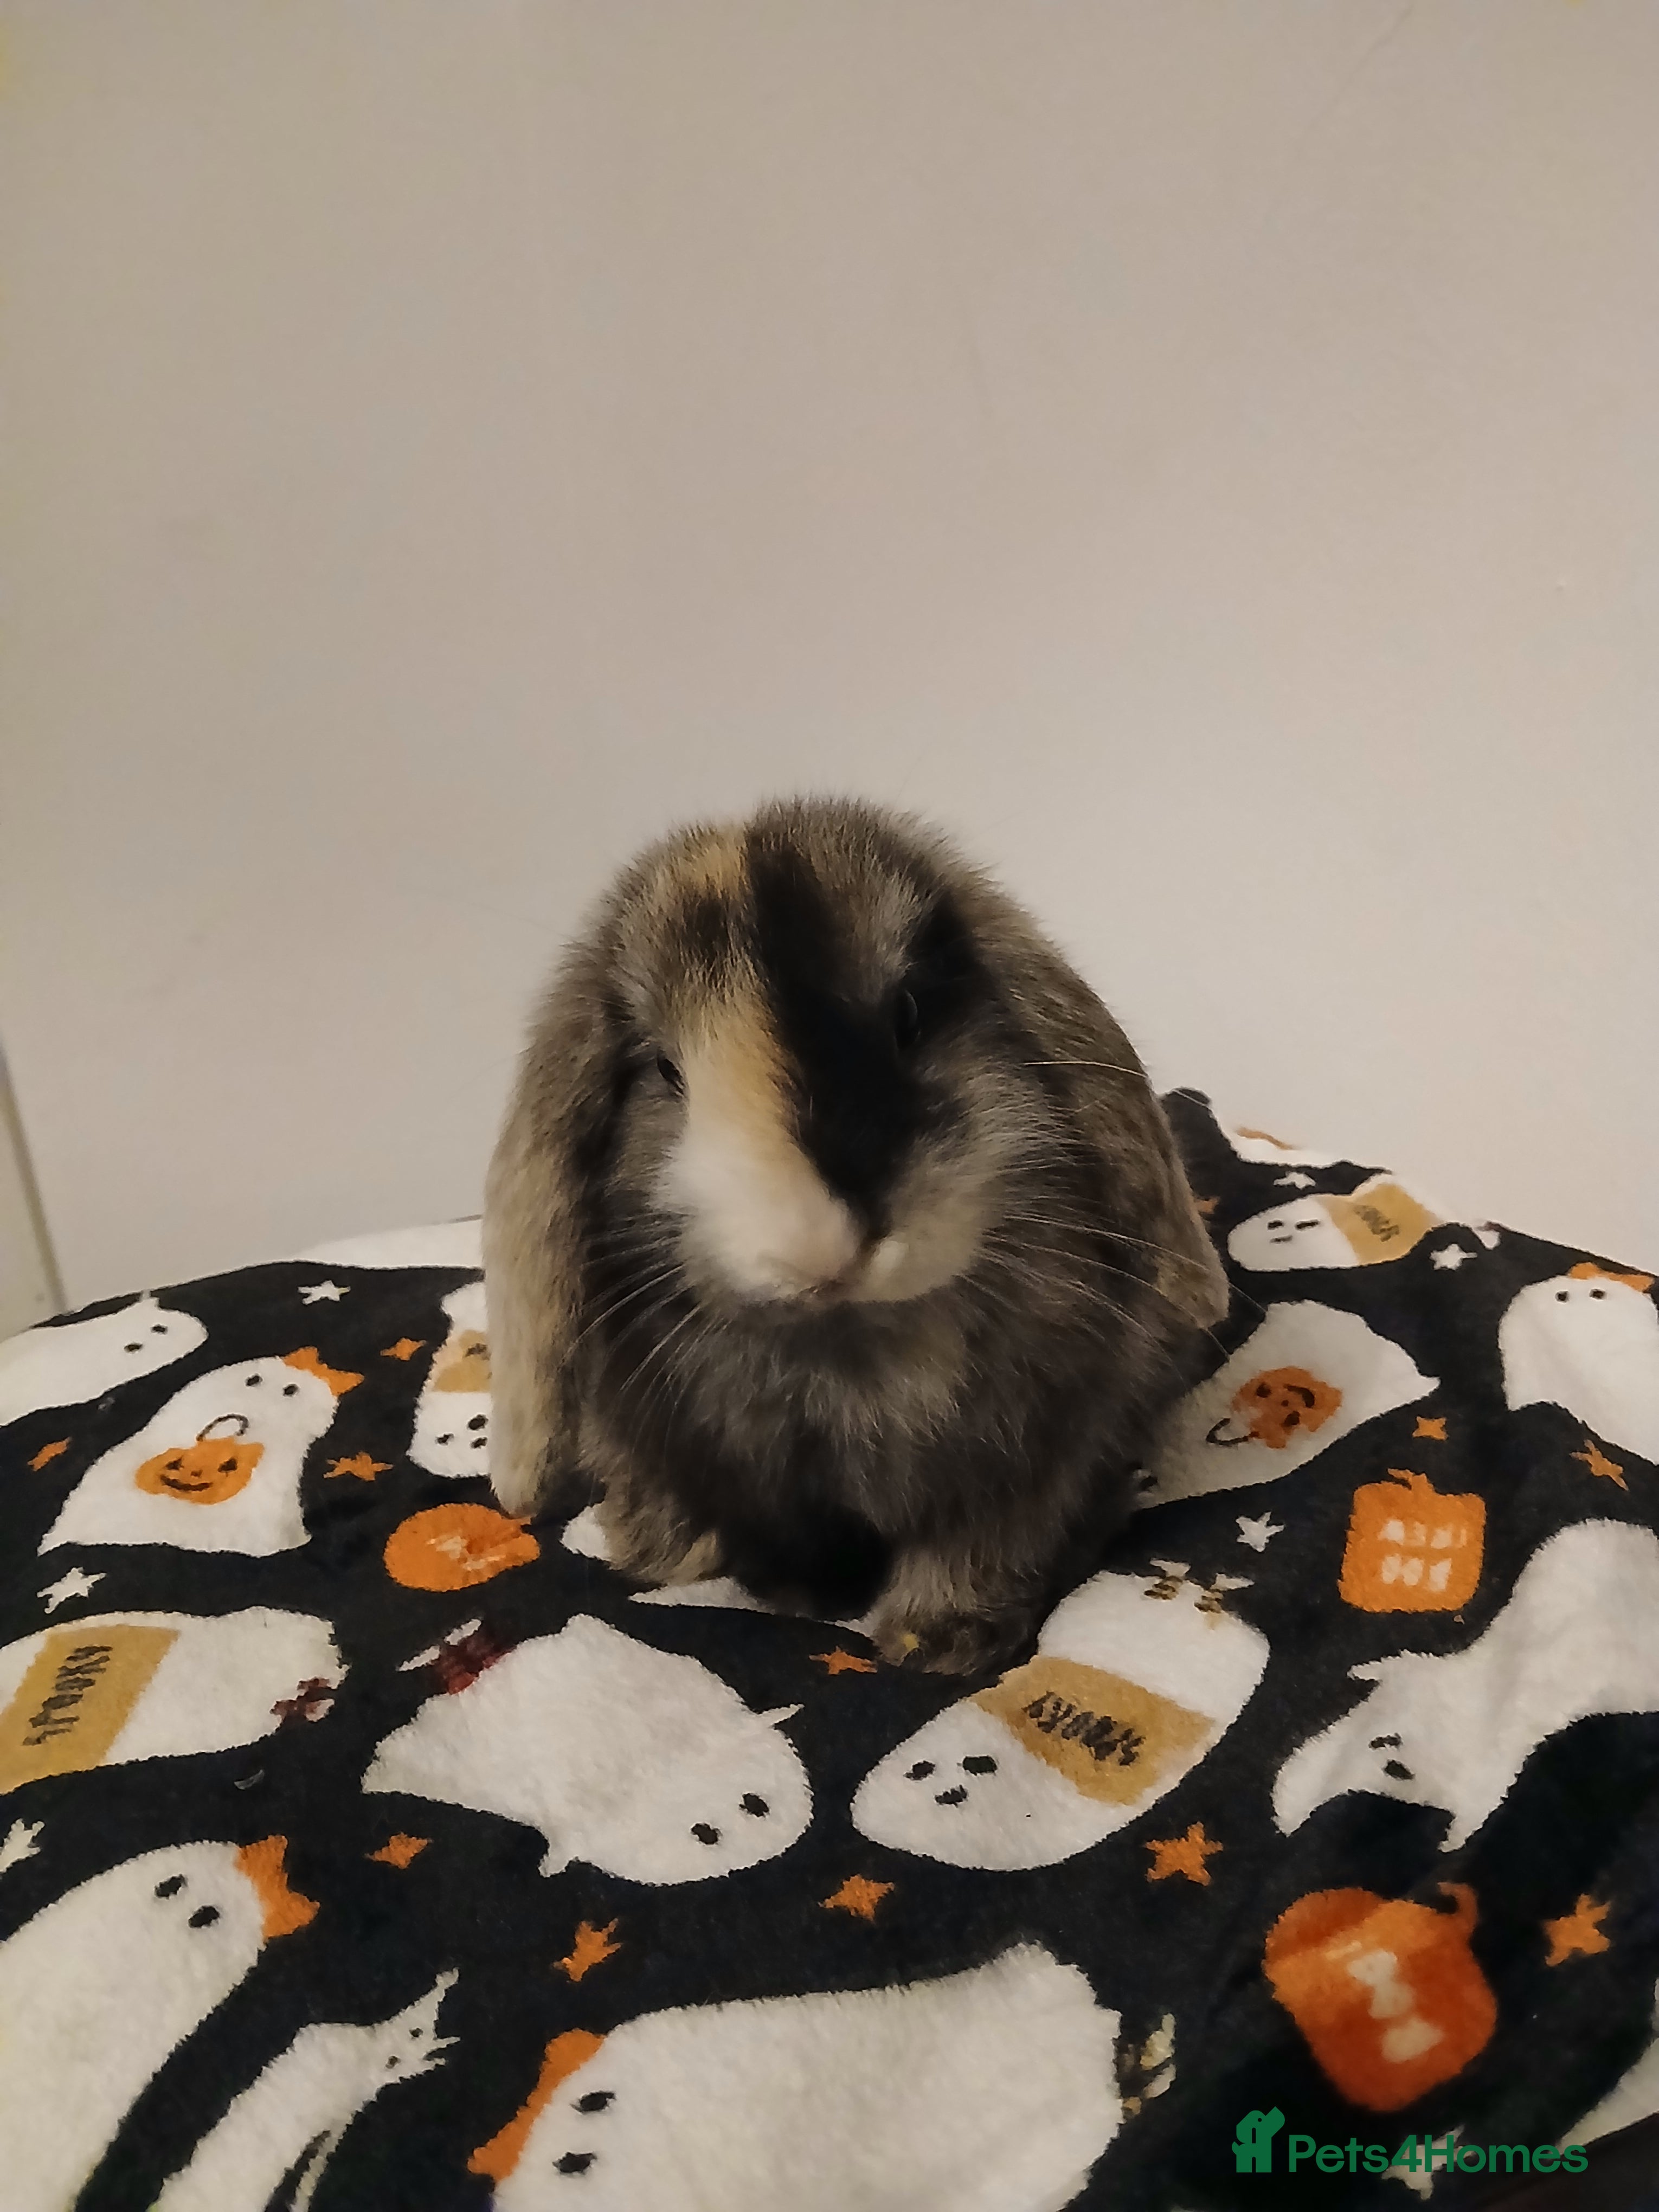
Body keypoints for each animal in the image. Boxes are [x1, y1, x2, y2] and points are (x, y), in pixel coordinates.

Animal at [483, 798, 1227, 1673]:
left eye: (906, 1016)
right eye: (665, 1071)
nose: (819, 1246)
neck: (844, 1351)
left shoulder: (1034, 1451)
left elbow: (985, 1541)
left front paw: (935, 1641)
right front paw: (726, 1573)